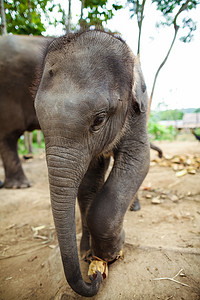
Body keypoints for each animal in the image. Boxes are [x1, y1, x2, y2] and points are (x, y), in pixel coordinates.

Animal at [34, 29, 150, 296]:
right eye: (38, 118)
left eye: (99, 119)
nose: (94, 278)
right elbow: (88, 182)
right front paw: (89, 253)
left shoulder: (138, 111)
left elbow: (139, 160)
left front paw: (111, 254)